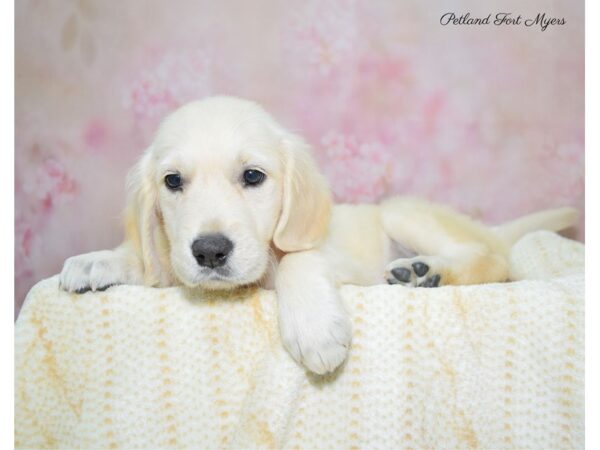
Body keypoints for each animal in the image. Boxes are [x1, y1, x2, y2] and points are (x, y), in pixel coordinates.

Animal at [60, 96, 578, 374]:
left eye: (253, 176)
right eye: (172, 182)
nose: (209, 251)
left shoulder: (344, 263)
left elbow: (296, 259)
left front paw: (313, 329)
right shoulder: (172, 263)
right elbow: (154, 262)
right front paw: (99, 261)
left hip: (403, 213)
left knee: (495, 259)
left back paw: (423, 270)